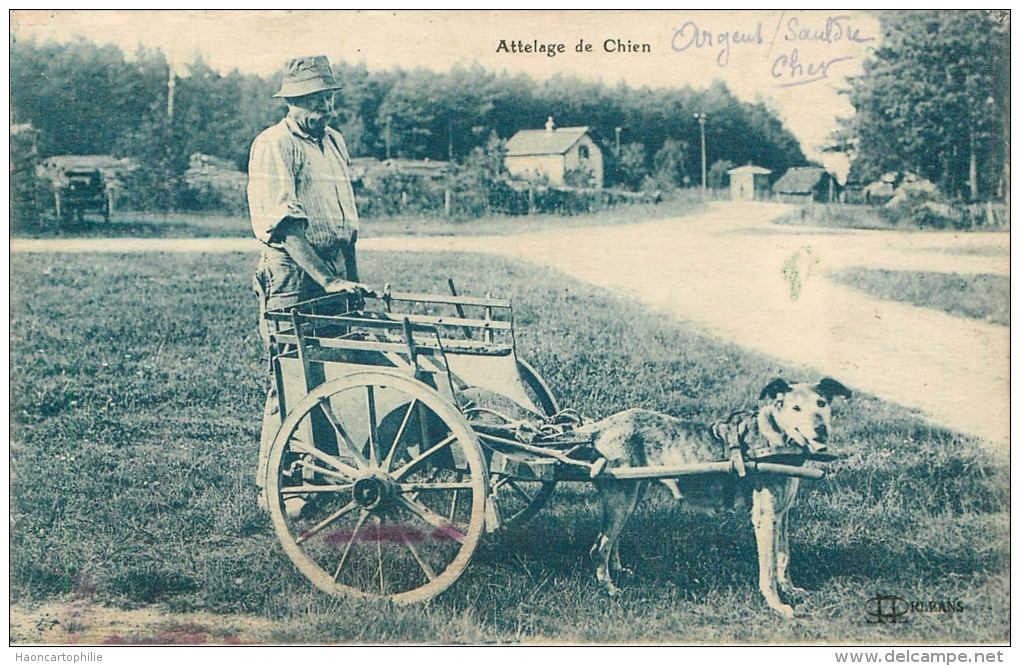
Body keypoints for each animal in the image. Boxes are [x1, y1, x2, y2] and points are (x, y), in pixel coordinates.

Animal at [575, 377, 852, 616]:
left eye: (822, 404)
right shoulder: (765, 517)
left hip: (633, 493)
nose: (820, 431)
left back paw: (618, 570)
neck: (774, 438)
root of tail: (602, 426)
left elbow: (784, 557)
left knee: (612, 540)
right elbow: (770, 568)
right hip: (622, 497)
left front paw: (790, 590)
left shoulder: (781, 514)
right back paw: (609, 588)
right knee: (599, 546)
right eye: (796, 408)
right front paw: (776, 604)